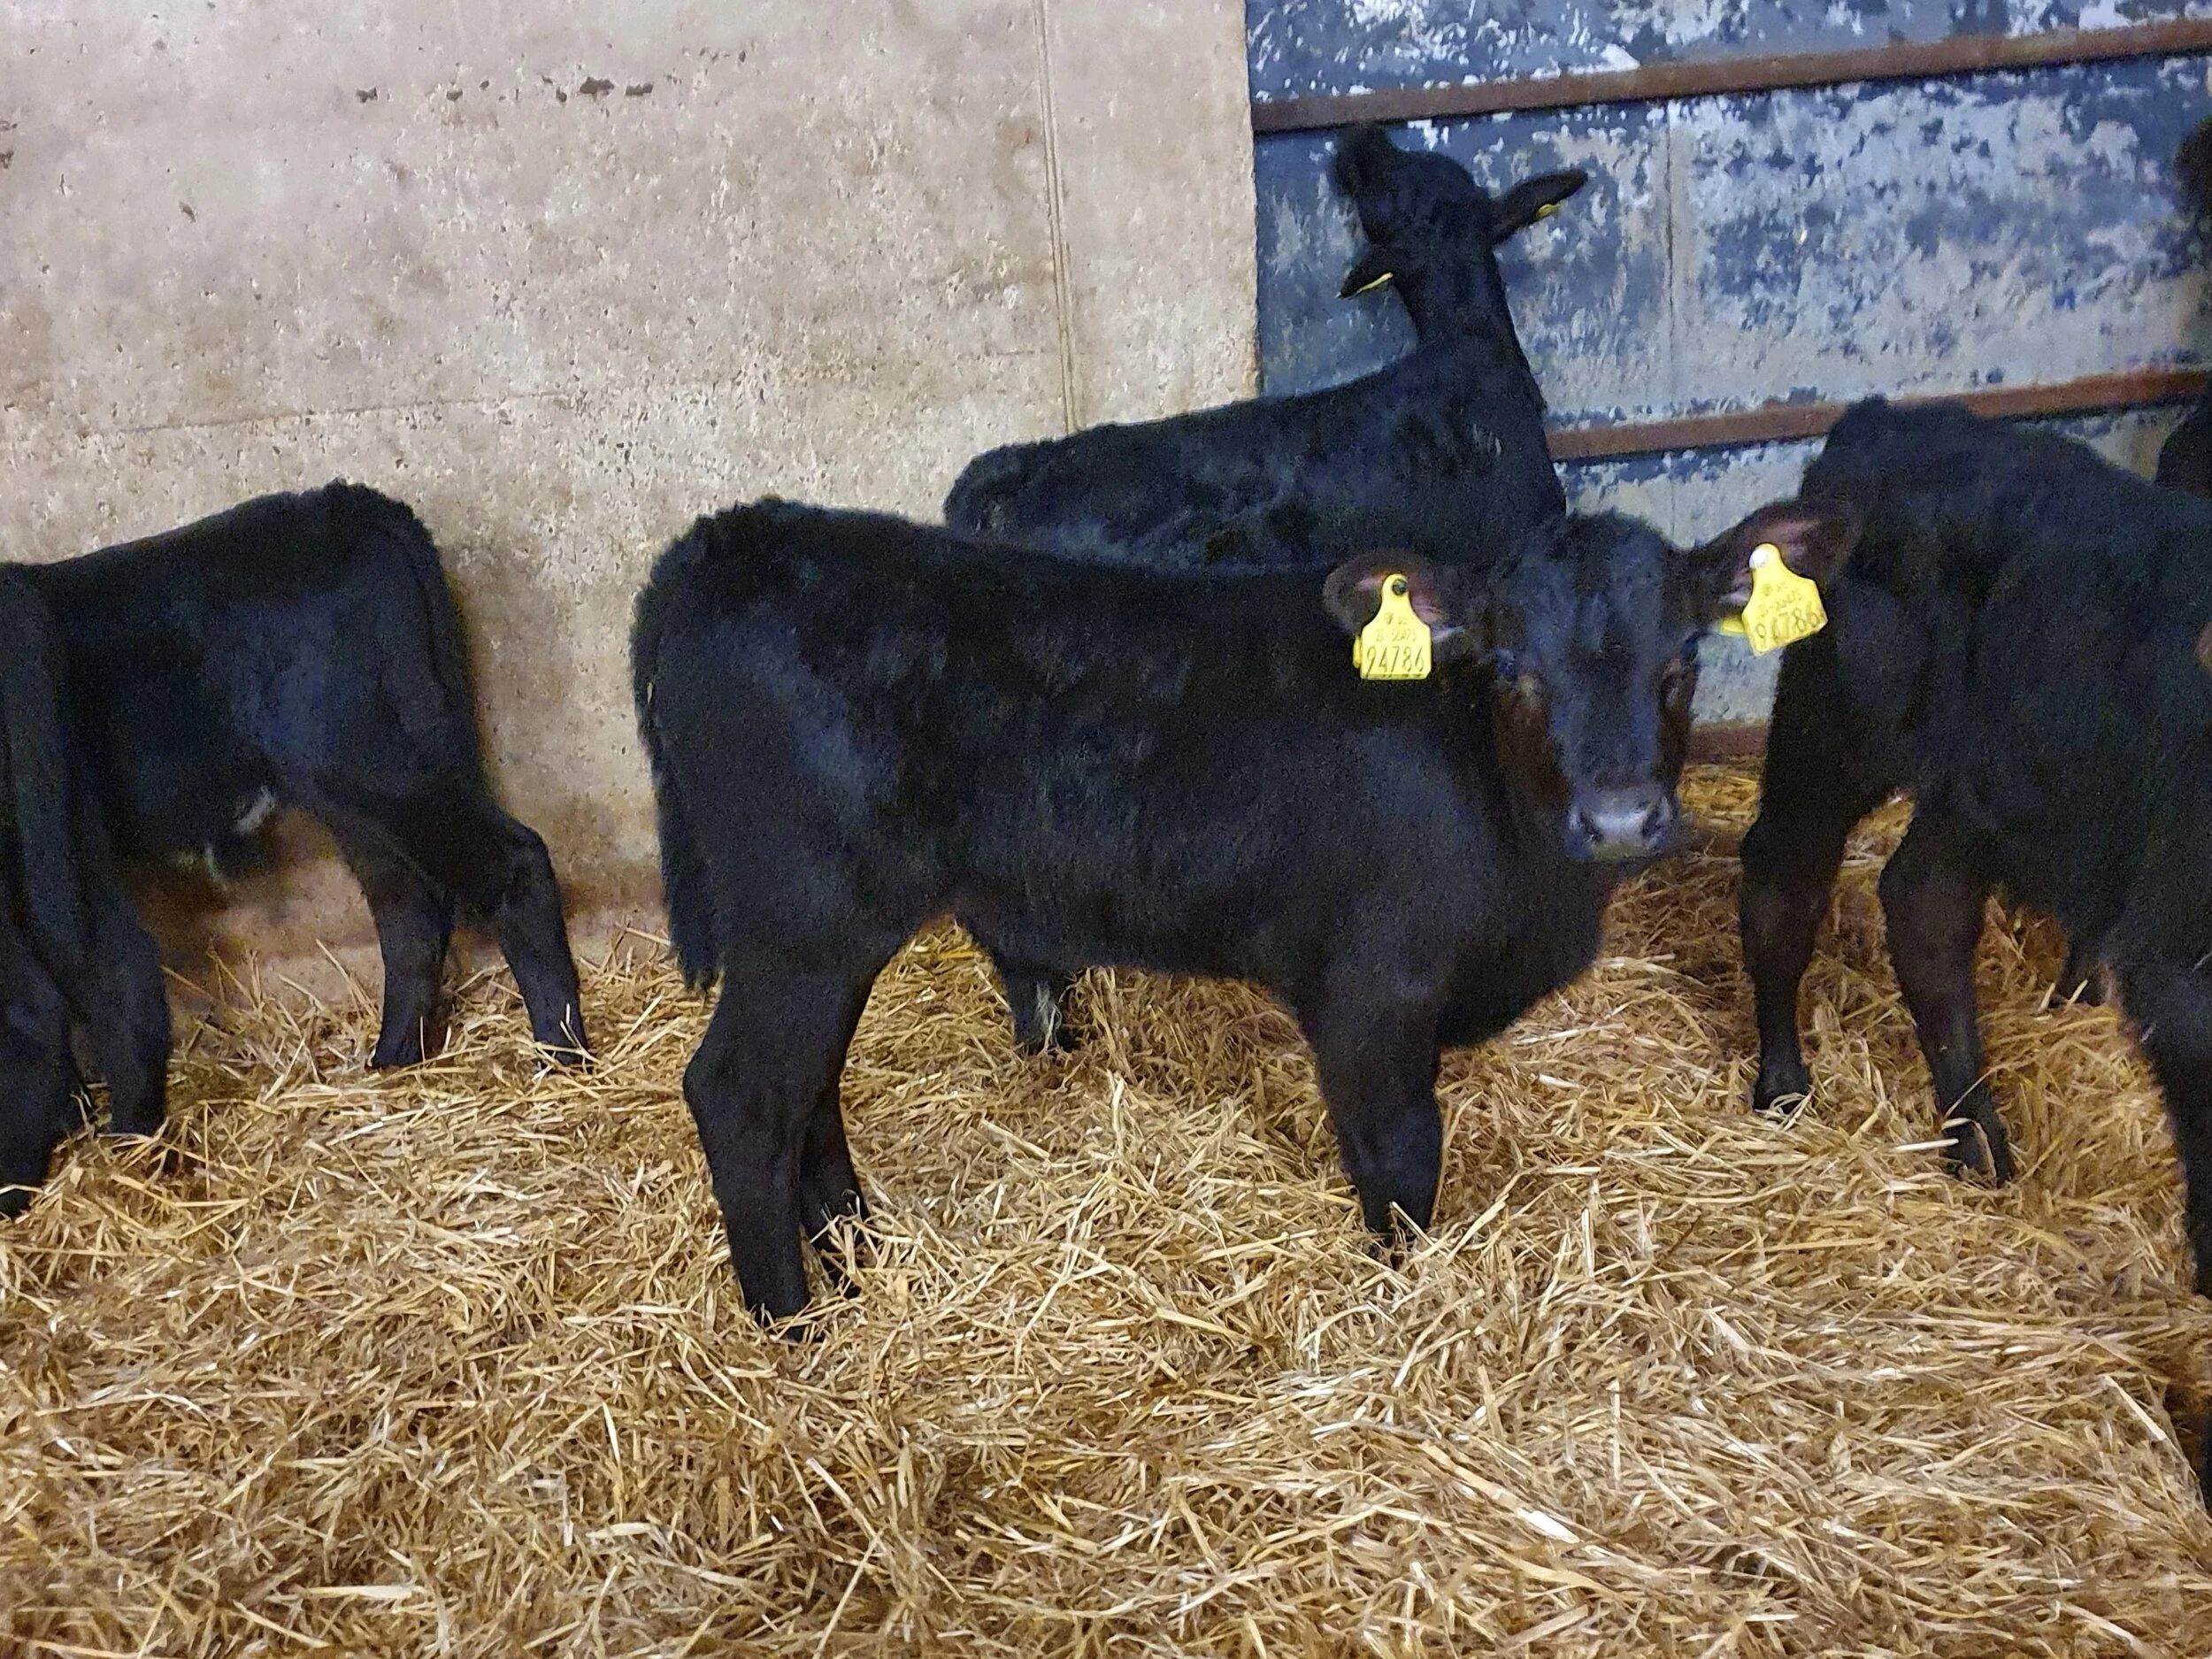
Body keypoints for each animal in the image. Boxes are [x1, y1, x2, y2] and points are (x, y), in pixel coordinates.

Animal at [15, 483, 589, 1070]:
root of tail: (341, 504)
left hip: (361, 759)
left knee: (510, 864)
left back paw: (562, 1051)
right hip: (360, 785)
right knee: (408, 904)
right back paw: (393, 1058)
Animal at [630, 494, 1858, 1322]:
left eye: (1682, 659)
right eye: (1513, 669)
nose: (1618, 820)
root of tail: (725, 540)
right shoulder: (1370, 991)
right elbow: (1401, 1166)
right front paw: (1403, 1309)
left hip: (824, 940)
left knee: (807, 1091)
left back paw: (854, 1256)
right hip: (803, 925)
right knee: (741, 1095)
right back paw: (795, 1327)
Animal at [1737, 397, 2212, 1299]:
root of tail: (1894, 419)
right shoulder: (2182, 967)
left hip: (1982, 782)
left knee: (1924, 903)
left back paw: (1978, 1138)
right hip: (1837, 726)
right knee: (1787, 876)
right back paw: (1783, 1085)